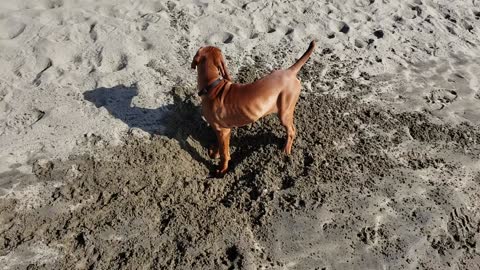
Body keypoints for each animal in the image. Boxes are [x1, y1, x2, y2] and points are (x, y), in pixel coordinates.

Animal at [191, 39, 316, 175]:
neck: (212, 86)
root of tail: (290, 71)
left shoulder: (223, 130)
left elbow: (225, 153)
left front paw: (222, 170)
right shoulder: (223, 131)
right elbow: (221, 146)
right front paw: (215, 153)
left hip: (285, 112)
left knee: (292, 131)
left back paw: (285, 150)